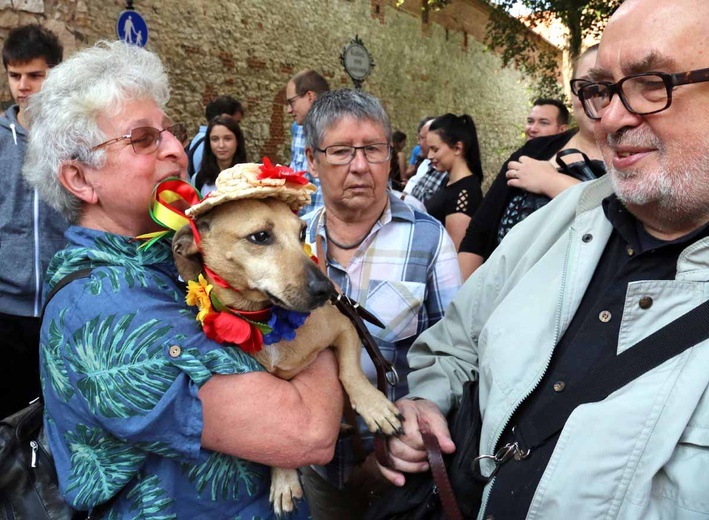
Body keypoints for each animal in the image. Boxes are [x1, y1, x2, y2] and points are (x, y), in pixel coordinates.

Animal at [173, 196, 404, 516]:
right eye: (260, 236)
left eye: (301, 232)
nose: (328, 290)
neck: (268, 321)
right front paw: (283, 480)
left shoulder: (345, 327)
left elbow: (350, 373)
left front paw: (375, 407)